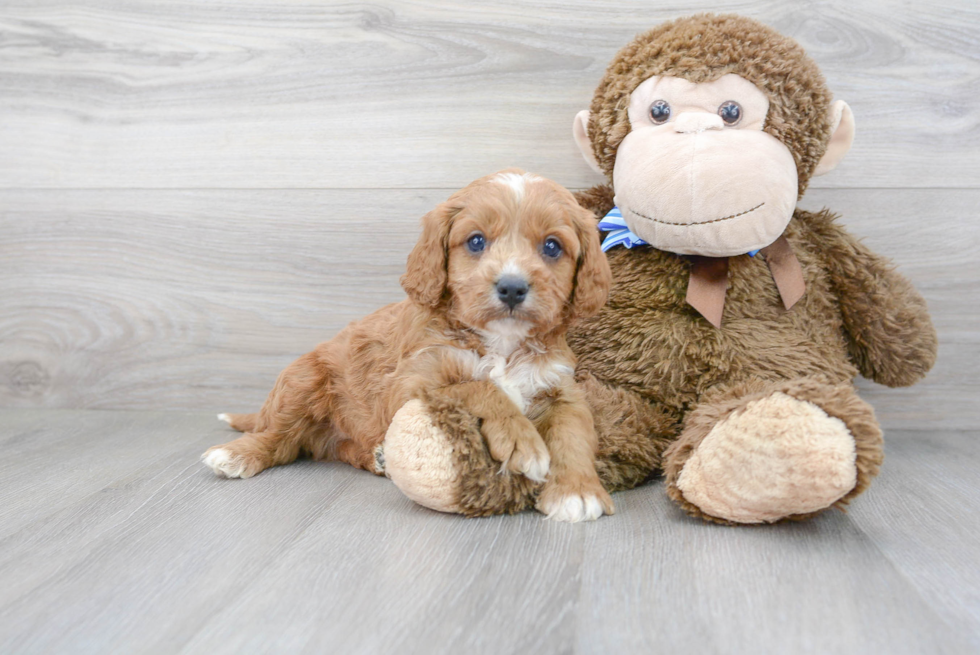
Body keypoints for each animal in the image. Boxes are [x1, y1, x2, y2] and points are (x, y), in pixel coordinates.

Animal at [201, 169, 612, 524]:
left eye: (552, 247)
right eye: (476, 241)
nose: (512, 287)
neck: (502, 343)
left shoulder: (561, 387)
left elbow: (574, 433)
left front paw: (577, 491)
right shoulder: (409, 383)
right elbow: (478, 386)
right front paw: (521, 441)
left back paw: (377, 457)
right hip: (302, 379)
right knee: (280, 436)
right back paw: (237, 453)